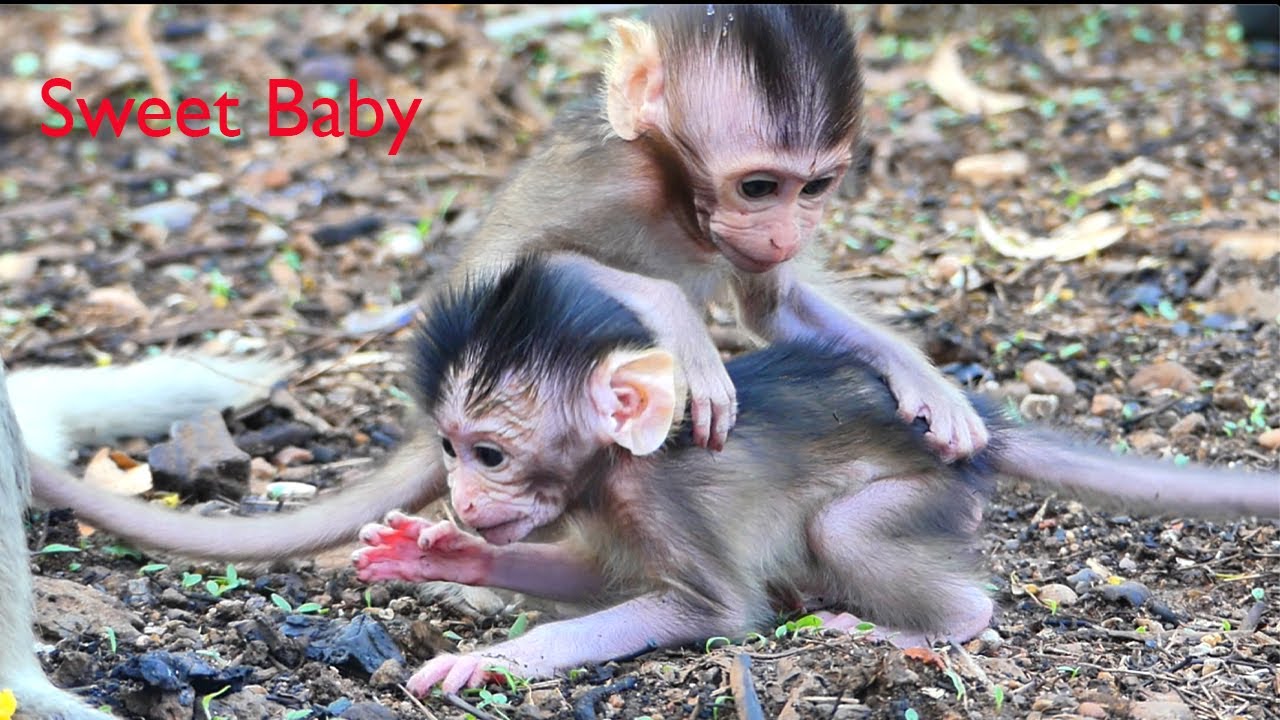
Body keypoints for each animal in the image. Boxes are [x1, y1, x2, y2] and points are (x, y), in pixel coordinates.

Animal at [347, 255, 1279, 695]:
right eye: (449, 450)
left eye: (490, 454)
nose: (463, 499)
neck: (612, 467)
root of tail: (971, 434)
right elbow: (589, 576)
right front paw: (440, 554)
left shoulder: (658, 499)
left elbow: (717, 610)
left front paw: (493, 660)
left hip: (930, 493)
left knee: (852, 535)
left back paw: (906, 630)